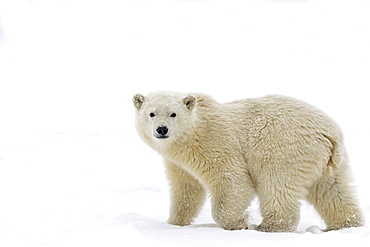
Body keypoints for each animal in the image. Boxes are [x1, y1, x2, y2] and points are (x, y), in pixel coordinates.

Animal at [132, 91, 362, 232]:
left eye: (173, 114)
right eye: (151, 113)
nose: (162, 129)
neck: (192, 135)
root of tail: (330, 134)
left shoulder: (215, 143)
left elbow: (233, 180)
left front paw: (240, 223)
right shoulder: (178, 163)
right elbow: (186, 189)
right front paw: (174, 223)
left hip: (282, 147)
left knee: (276, 184)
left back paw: (268, 227)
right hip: (329, 162)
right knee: (333, 190)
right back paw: (345, 224)